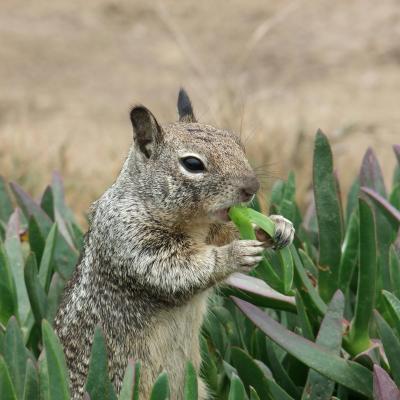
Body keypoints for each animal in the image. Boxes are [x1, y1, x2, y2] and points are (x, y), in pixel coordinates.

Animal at [54, 90, 294, 400]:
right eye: (192, 164)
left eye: (236, 142)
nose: (252, 187)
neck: (193, 226)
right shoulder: (129, 240)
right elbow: (175, 269)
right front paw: (235, 254)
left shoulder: (211, 230)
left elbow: (226, 231)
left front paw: (276, 225)